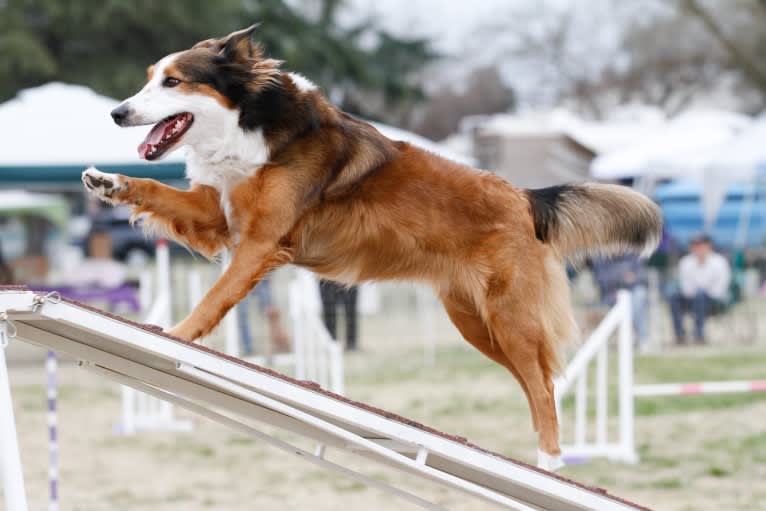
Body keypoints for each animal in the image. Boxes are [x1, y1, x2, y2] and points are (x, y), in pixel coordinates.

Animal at [81, 25, 664, 472]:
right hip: (474, 322)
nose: (115, 113)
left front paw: (175, 337)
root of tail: (524, 198)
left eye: (173, 81)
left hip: (508, 316)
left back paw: (550, 462)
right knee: (536, 380)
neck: (254, 122)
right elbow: (159, 192)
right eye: (148, 78)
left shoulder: (261, 242)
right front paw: (111, 182)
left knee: (543, 385)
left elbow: (213, 298)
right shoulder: (220, 214)